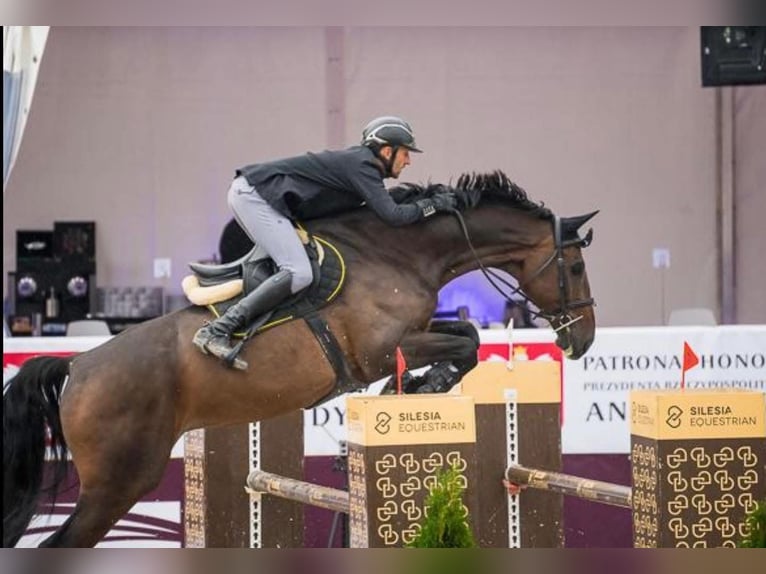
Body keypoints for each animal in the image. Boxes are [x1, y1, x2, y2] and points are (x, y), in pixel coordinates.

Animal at [1, 171, 600, 548]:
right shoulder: (379, 350)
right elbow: (462, 344)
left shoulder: (413, 334)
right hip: (119, 482)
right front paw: (421, 387)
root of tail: (77, 367)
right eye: (573, 268)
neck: (398, 252)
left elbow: (468, 333)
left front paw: (413, 390)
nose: (584, 340)